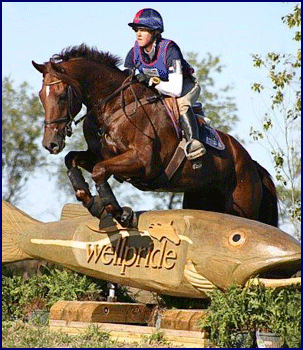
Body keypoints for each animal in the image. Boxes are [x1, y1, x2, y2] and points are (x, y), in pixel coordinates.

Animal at [32, 43, 280, 228]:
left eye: (62, 96)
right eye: (41, 96)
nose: (50, 144)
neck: (113, 107)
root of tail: (251, 164)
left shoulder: (143, 163)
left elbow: (99, 171)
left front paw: (119, 212)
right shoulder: (101, 156)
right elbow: (73, 160)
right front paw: (90, 201)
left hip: (243, 207)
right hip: (201, 198)